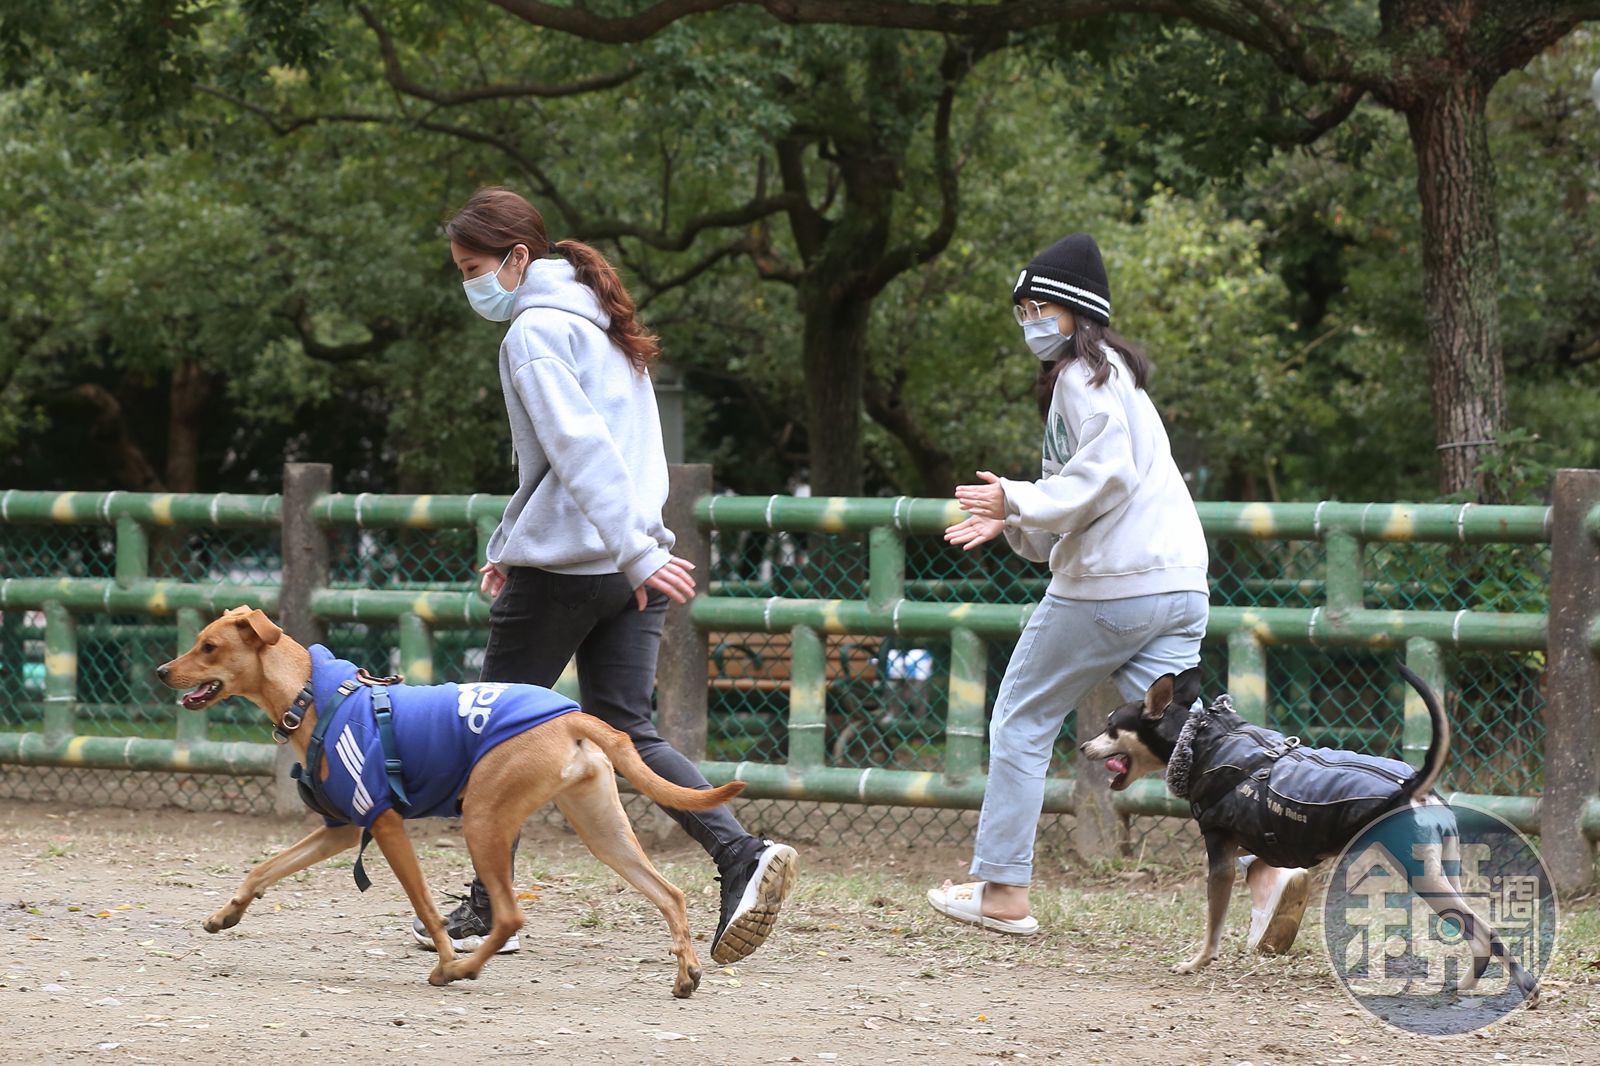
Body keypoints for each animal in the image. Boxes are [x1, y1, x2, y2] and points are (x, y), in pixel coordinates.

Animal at [156, 605, 742, 998]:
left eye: (208, 647)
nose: (162, 671)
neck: (312, 695)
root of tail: (572, 716)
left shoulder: (383, 824)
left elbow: (427, 909)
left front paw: (443, 958)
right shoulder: (340, 829)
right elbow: (264, 869)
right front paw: (225, 915)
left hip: (483, 820)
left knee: (509, 917)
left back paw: (460, 969)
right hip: (603, 832)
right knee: (670, 894)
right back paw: (686, 973)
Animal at [1081, 665, 1542, 998]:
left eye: (1111, 726)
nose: (1083, 747)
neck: (1198, 742)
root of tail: (1415, 788)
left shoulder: (1220, 857)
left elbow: (1213, 924)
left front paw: (1197, 963)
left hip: (1424, 876)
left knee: (1486, 933)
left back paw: (1524, 987)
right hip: (1445, 869)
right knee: (1479, 933)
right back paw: (1469, 985)